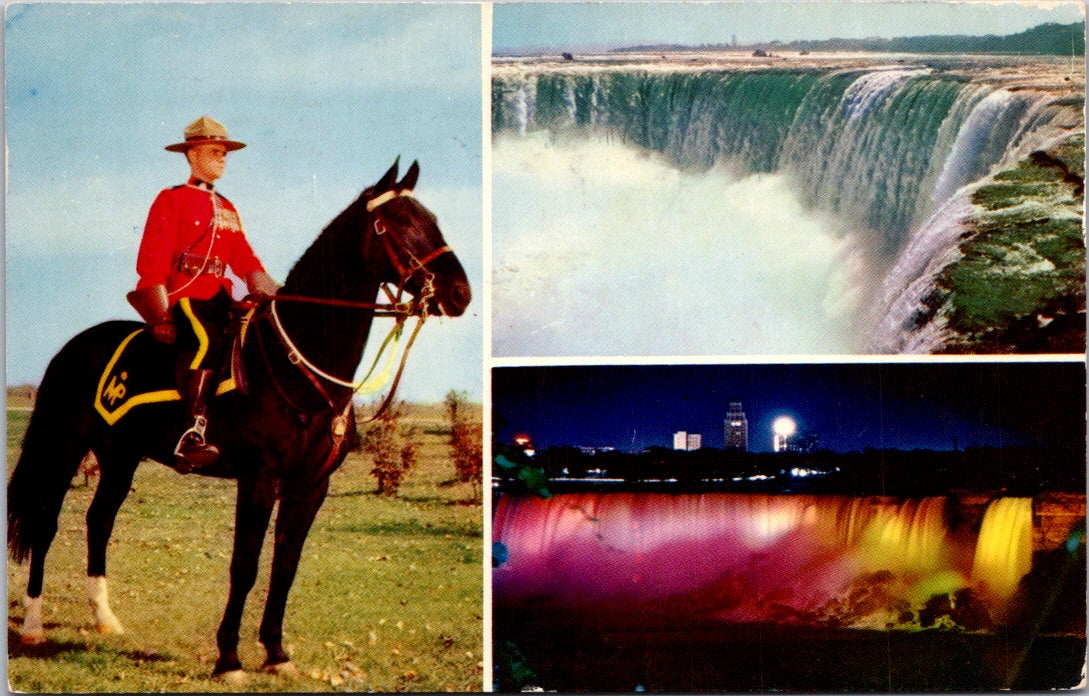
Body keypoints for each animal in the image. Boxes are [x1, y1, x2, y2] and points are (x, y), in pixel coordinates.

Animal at [6, 159, 470, 679]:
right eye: (398, 223)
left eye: (432, 219)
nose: (460, 293)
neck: (296, 363)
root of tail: (72, 347)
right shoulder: (259, 478)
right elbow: (244, 566)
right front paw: (229, 657)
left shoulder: (310, 484)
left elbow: (285, 567)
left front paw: (277, 653)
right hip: (64, 447)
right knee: (45, 522)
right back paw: (33, 626)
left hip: (120, 457)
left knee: (99, 520)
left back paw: (105, 619)